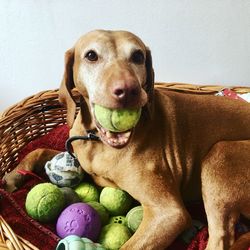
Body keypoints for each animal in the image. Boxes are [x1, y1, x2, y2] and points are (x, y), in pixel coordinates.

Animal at [3, 30, 250, 249]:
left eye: (138, 56)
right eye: (91, 55)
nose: (129, 90)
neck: (98, 143)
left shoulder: (169, 213)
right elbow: (39, 150)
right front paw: (14, 175)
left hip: (221, 153)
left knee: (220, 240)